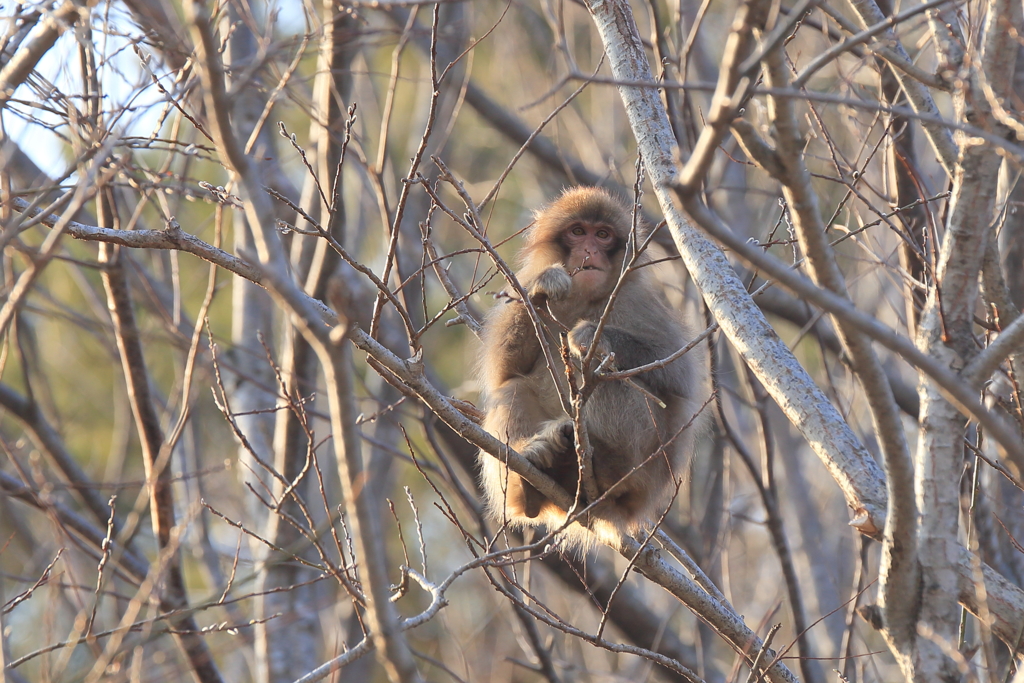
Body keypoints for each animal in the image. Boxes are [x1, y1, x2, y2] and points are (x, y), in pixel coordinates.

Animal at [477, 185, 704, 548]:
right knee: (513, 388)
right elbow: (504, 369)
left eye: (603, 235)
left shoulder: (637, 299)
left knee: (606, 377)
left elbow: (678, 376)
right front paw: (544, 286)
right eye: (578, 232)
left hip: (646, 473)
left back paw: (608, 463)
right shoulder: (520, 286)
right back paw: (534, 481)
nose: (589, 250)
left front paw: (588, 335)